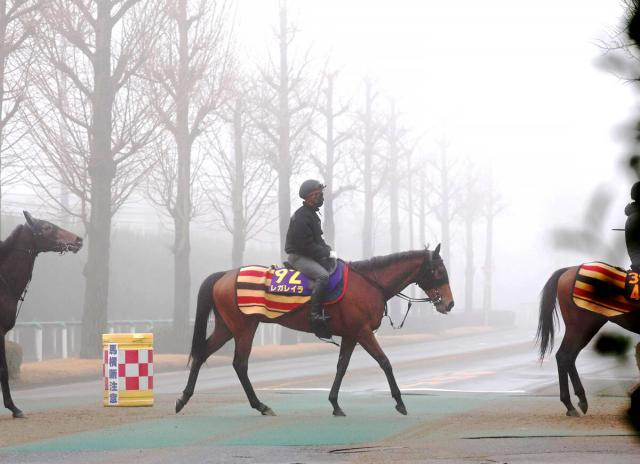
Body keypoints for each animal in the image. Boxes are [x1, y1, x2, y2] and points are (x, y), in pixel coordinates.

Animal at [175, 244, 454, 417]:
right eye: (439, 271)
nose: (449, 303)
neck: (368, 282)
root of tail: (225, 275)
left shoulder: (351, 335)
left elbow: (341, 367)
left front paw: (335, 403)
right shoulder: (363, 332)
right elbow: (384, 362)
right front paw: (399, 401)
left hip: (227, 327)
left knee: (202, 354)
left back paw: (184, 398)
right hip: (244, 327)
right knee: (239, 364)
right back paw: (261, 405)